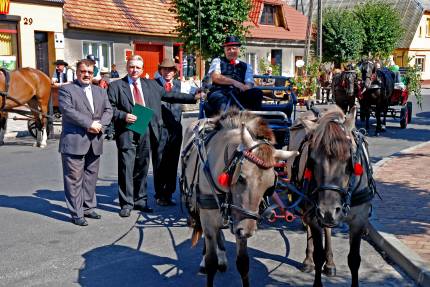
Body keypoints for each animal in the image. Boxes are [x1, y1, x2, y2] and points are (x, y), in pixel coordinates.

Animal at [180, 109, 298, 286]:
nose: (247, 231)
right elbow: (211, 262)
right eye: (241, 178)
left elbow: (243, 263)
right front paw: (208, 262)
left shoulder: (239, 220)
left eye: (270, 186)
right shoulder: (210, 218)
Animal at [288, 106, 378, 287]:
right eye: (311, 161)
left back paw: (330, 263)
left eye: (350, 160)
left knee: (328, 230)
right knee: (310, 228)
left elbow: (354, 260)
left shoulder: (359, 220)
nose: (327, 211)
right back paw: (308, 260)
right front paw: (314, 263)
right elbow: (318, 255)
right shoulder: (315, 215)